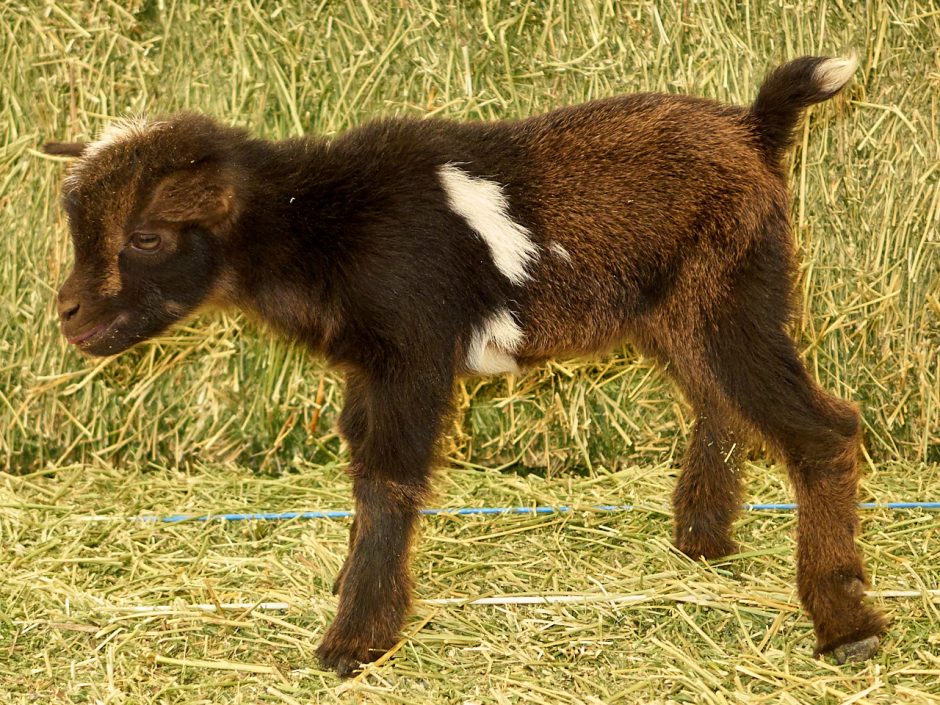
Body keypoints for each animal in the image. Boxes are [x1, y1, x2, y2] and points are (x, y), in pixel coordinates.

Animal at [44, 55, 885, 675]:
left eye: (147, 236)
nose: (69, 314)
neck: (318, 222)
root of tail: (754, 127)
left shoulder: (411, 353)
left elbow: (387, 483)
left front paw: (354, 639)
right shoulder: (370, 366)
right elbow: (364, 474)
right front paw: (352, 590)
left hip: (735, 294)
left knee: (825, 429)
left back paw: (847, 625)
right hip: (685, 309)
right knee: (719, 402)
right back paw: (703, 539)